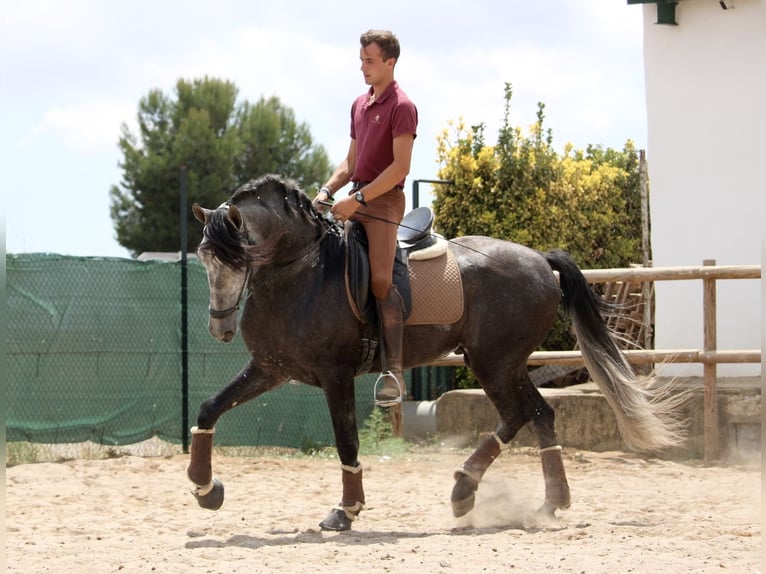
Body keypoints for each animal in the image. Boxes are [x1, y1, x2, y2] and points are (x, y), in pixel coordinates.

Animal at [186, 173, 684, 532]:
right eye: (204, 258)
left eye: (236, 258)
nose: (220, 328)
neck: (301, 270)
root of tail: (541, 261)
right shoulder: (271, 368)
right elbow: (210, 407)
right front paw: (205, 488)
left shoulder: (335, 375)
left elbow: (346, 440)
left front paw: (347, 510)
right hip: (508, 363)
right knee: (541, 414)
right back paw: (549, 502)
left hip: (492, 363)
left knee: (518, 414)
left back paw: (465, 490)